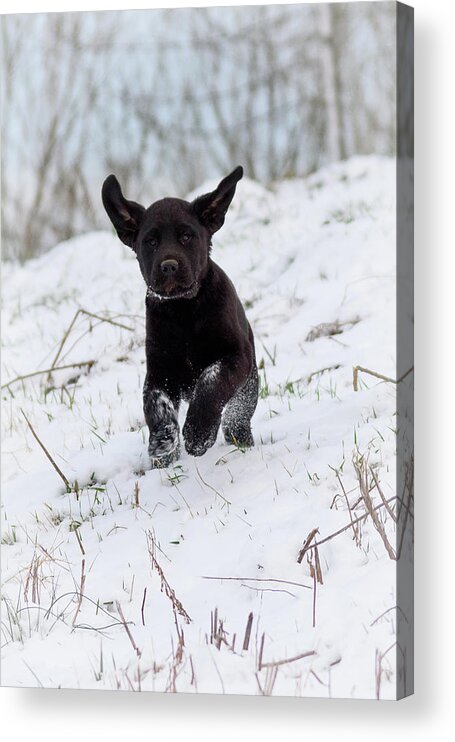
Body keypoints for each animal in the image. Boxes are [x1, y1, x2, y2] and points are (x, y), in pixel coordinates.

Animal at [104, 170, 260, 470]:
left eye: (187, 236)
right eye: (151, 241)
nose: (168, 266)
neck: (183, 311)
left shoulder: (235, 356)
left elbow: (211, 381)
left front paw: (198, 433)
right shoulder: (159, 372)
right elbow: (156, 405)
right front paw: (163, 442)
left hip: (249, 382)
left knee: (237, 417)